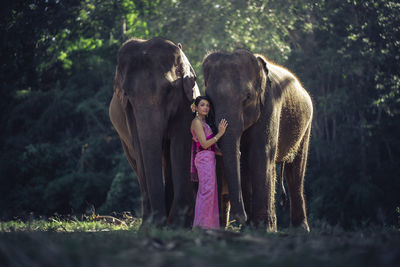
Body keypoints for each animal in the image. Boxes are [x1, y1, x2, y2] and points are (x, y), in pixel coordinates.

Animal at [108, 36, 199, 227]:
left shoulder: (186, 100)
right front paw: (151, 226)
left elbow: (180, 145)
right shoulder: (129, 110)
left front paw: (176, 226)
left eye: (169, 90)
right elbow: (140, 148)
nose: (159, 222)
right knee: (136, 161)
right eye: (127, 93)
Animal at [203, 49, 312, 232]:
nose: (241, 217)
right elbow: (239, 161)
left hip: (306, 125)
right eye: (209, 98)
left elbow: (260, 154)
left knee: (295, 170)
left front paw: (264, 229)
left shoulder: (270, 106)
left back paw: (301, 229)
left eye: (247, 98)